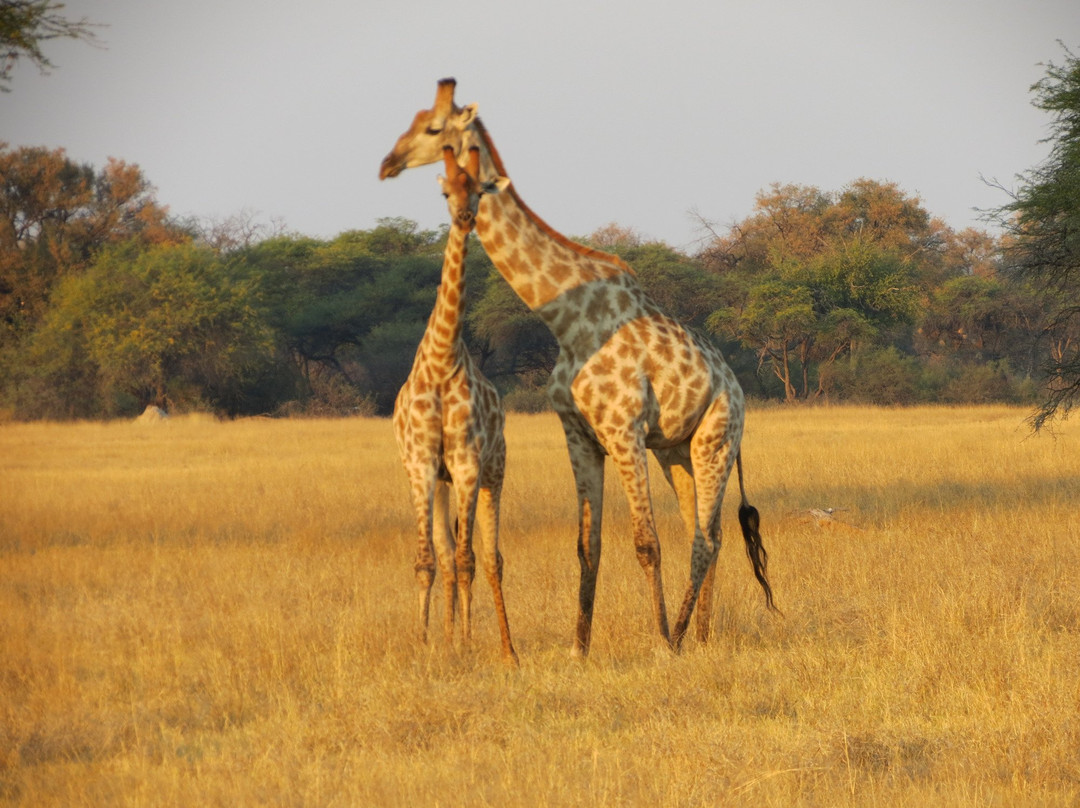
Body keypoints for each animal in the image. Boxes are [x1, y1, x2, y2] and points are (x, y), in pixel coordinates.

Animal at [380, 77, 777, 656]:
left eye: (432, 128)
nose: (387, 163)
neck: (565, 320)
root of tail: (737, 388)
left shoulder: (623, 430)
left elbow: (646, 542)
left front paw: (657, 643)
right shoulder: (580, 434)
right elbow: (587, 544)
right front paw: (579, 646)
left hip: (716, 439)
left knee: (704, 537)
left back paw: (680, 636)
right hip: (676, 449)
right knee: (708, 532)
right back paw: (700, 635)